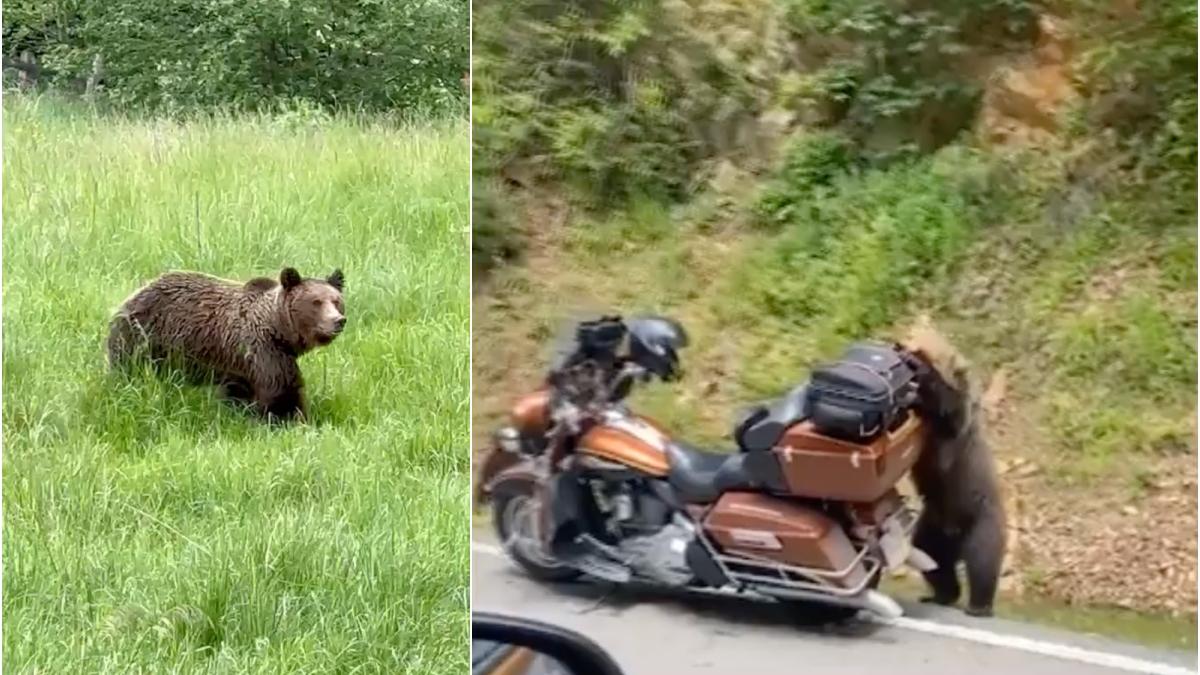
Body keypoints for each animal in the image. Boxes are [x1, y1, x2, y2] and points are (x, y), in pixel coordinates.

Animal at [108, 264, 348, 417]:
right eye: (316, 302)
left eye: (336, 301)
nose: (338, 321)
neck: (278, 330)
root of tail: (130, 297)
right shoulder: (263, 351)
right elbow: (282, 394)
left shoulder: (241, 368)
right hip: (142, 337)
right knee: (129, 371)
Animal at [902, 317, 1008, 619]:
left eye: (923, 345)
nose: (903, 343)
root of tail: (954, 538)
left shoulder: (954, 429)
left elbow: (949, 410)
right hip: (933, 525)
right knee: (932, 558)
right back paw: (940, 595)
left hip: (980, 518)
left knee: (982, 561)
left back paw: (979, 605)